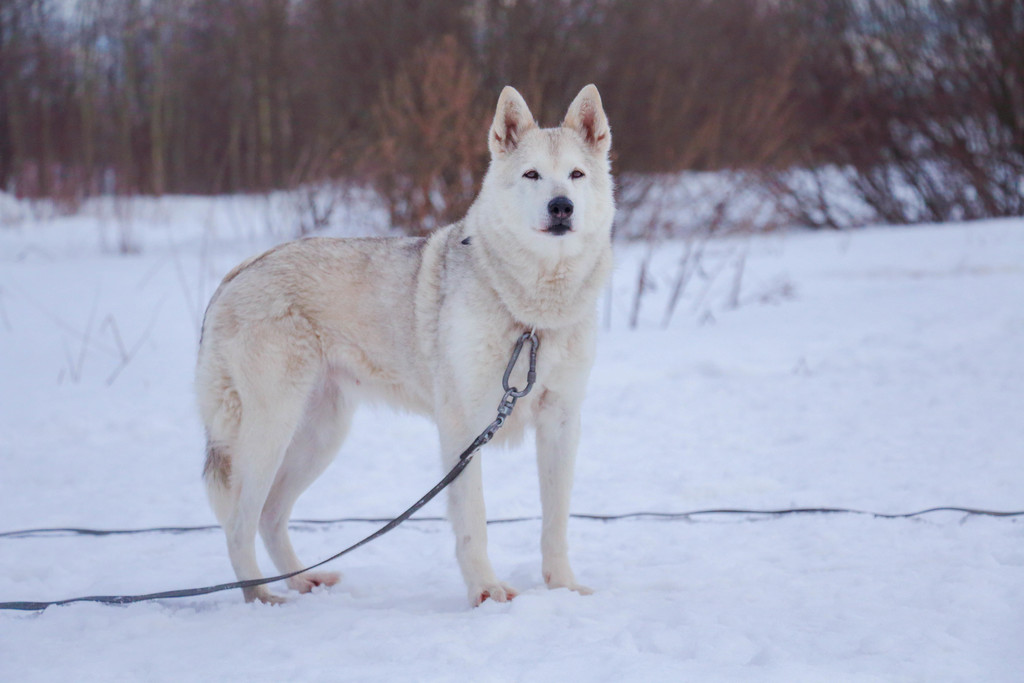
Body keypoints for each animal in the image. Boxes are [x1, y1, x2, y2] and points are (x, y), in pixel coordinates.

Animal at [197, 83, 614, 602]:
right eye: (531, 174)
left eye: (576, 174)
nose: (561, 206)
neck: (531, 315)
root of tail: (239, 272)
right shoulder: (464, 428)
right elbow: (473, 522)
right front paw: (486, 593)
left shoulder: (561, 423)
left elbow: (555, 522)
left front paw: (564, 589)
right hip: (271, 432)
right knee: (238, 524)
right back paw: (263, 599)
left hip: (319, 436)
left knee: (271, 516)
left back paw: (303, 581)